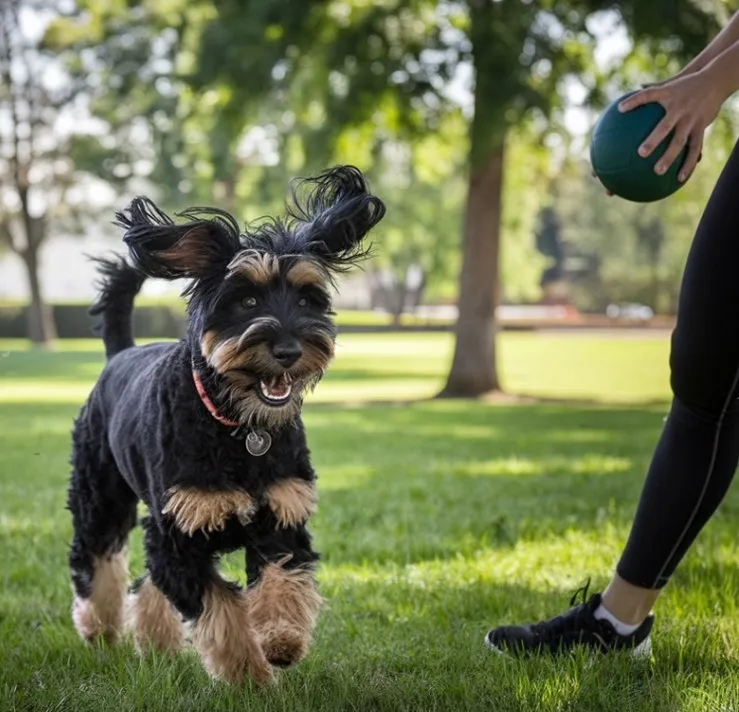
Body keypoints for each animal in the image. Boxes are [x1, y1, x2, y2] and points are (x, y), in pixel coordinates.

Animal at [68, 165, 388, 684]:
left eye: (307, 299)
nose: (288, 350)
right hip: (100, 498)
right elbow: (221, 611)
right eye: (247, 299)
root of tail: (120, 352)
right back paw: (98, 628)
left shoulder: (281, 516)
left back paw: (156, 643)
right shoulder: (180, 537)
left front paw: (281, 639)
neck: (236, 428)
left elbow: (282, 580)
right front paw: (248, 675)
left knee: (146, 582)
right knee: (94, 561)